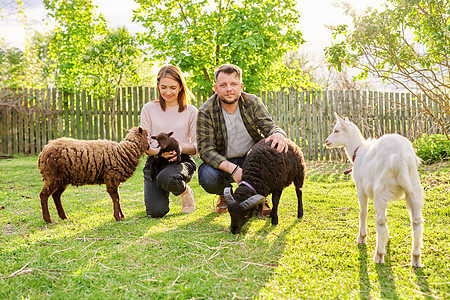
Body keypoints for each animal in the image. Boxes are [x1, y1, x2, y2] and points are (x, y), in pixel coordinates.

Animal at [326, 112, 424, 268]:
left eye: (336, 130)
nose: (326, 141)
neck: (357, 151)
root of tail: (401, 159)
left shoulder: (360, 187)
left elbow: (363, 212)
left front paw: (362, 237)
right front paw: (387, 237)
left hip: (381, 188)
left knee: (381, 220)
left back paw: (378, 254)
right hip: (414, 187)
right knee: (416, 220)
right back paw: (415, 257)